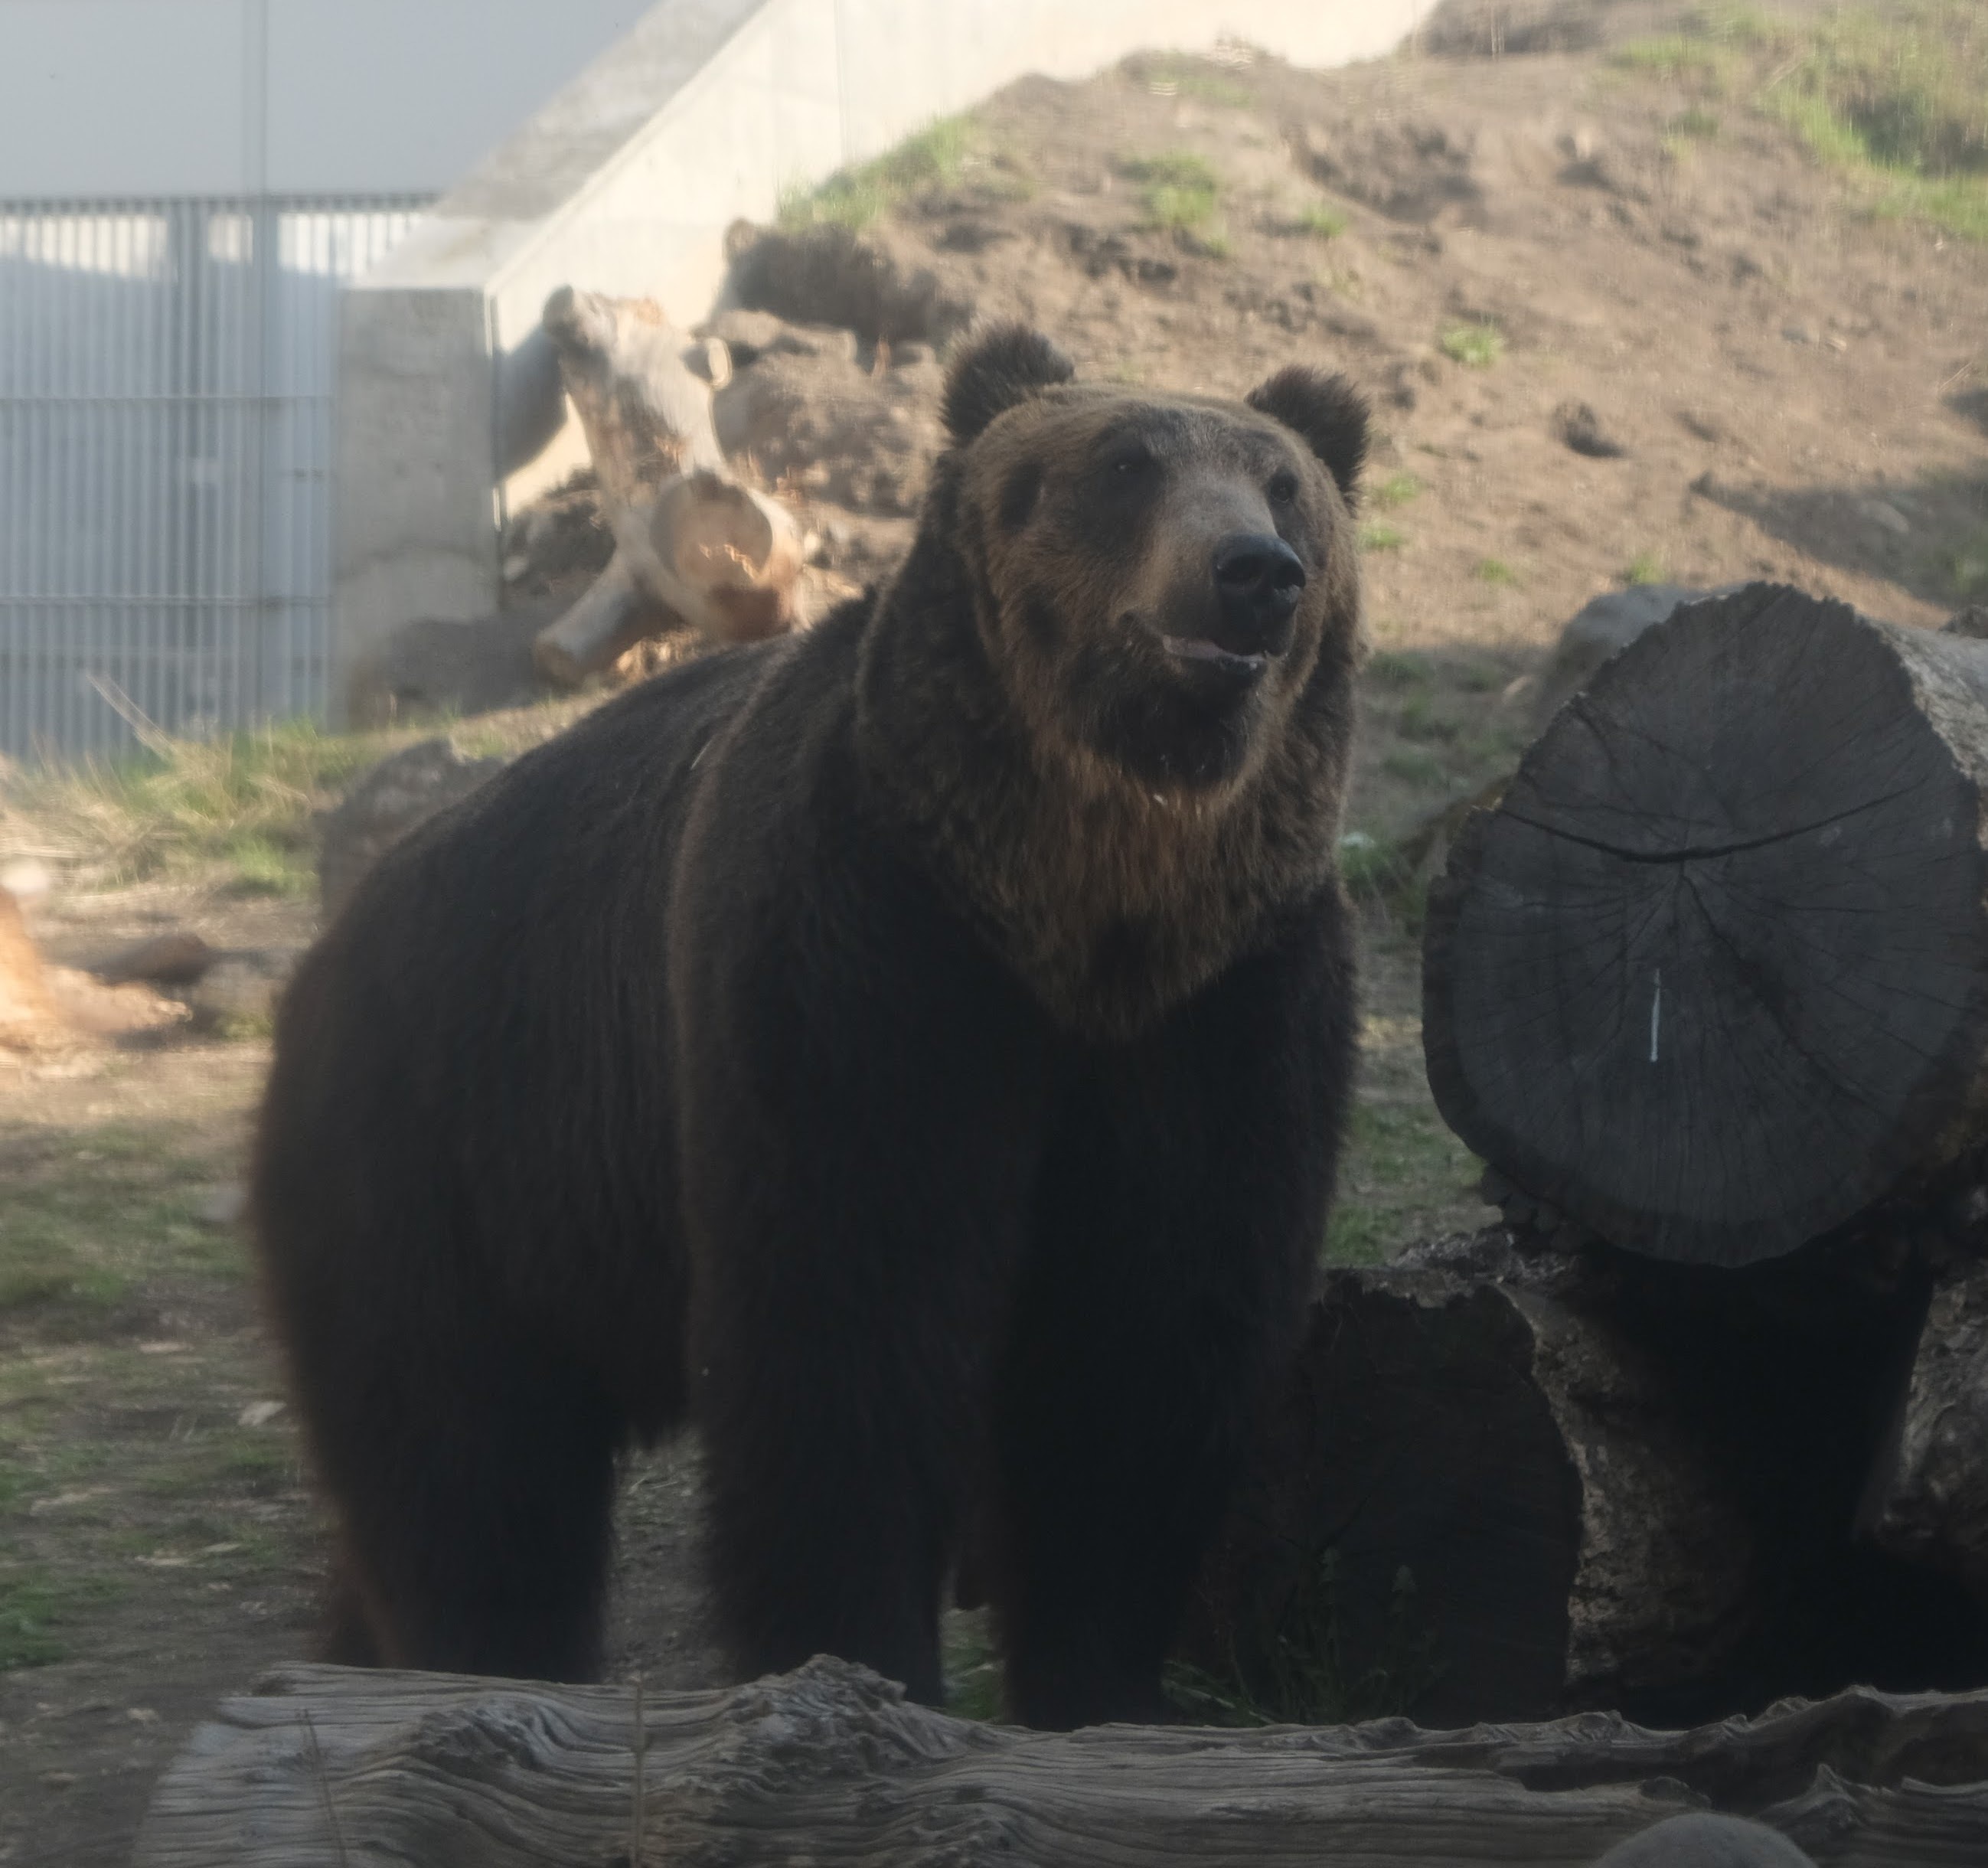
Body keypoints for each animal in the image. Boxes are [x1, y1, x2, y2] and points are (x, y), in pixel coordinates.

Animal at [252, 324, 1367, 1732]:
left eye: (1282, 484)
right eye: (1125, 462)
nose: (1249, 576)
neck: (1073, 912)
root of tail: (323, 956)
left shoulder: (1220, 1007)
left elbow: (1145, 1346)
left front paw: (1100, 1684)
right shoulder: (862, 958)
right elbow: (843, 1333)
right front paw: (859, 1659)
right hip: (449, 1144)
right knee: (463, 1462)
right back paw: (465, 1666)